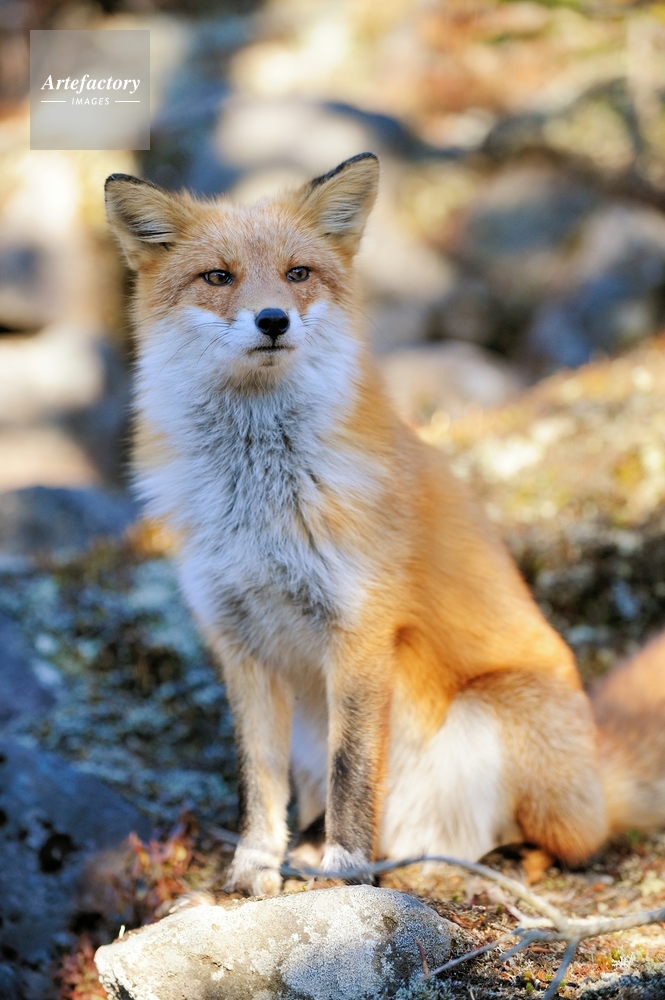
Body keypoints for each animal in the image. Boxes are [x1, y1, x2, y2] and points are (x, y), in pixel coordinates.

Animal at [105, 153, 665, 897]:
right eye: (218, 277)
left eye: (298, 273)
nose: (273, 319)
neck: (259, 504)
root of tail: (598, 775)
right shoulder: (239, 642)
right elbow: (258, 781)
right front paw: (254, 872)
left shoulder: (362, 631)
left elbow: (351, 772)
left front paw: (346, 872)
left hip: (498, 717)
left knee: (552, 841)